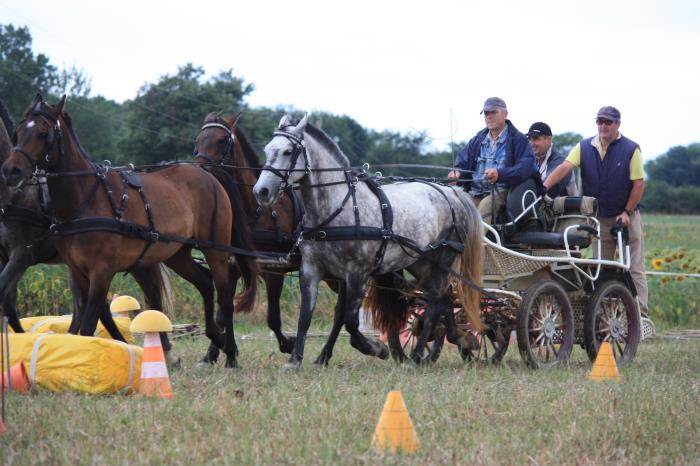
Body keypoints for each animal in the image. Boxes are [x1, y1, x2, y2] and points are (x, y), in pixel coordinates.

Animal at [2, 95, 254, 368]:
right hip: (176, 254)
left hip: (214, 247)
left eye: (42, 133)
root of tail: (206, 172)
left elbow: (89, 323)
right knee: (205, 284)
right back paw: (214, 339)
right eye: (17, 132)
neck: (85, 198)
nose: (10, 170)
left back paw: (230, 353)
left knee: (225, 295)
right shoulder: (77, 271)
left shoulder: (100, 270)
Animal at [254, 115, 484, 368]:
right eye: (267, 149)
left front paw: (377, 348)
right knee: (443, 298)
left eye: (288, 151)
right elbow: (306, 315)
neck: (337, 207)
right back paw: (457, 339)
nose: (261, 191)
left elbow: (350, 322)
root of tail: (452, 193)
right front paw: (295, 360)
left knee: (434, 302)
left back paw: (415, 356)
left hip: (442, 259)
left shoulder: (357, 273)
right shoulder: (311, 268)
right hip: (420, 262)